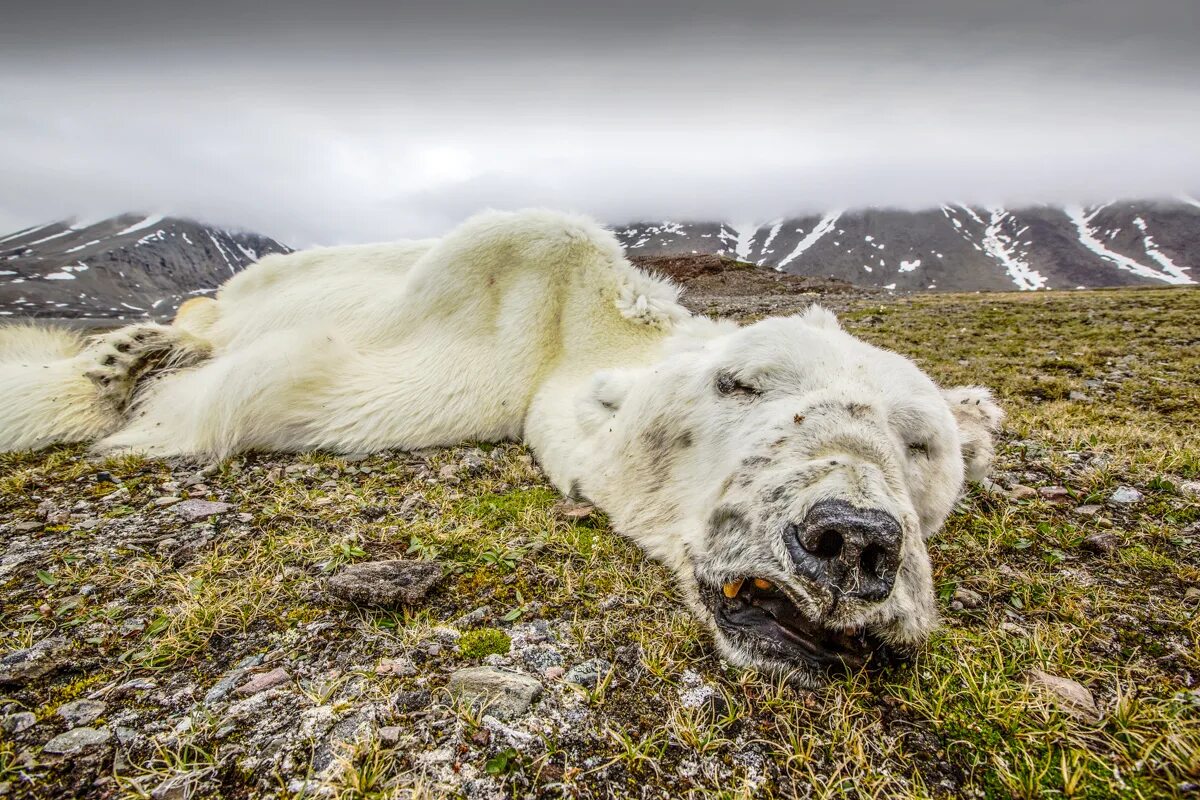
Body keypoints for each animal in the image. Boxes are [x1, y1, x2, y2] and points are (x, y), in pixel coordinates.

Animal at [0, 208, 998, 681]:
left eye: (920, 444)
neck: (574, 332)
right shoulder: (487, 306)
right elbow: (260, 386)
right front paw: (117, 374)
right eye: (741, 382)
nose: (853, 540)